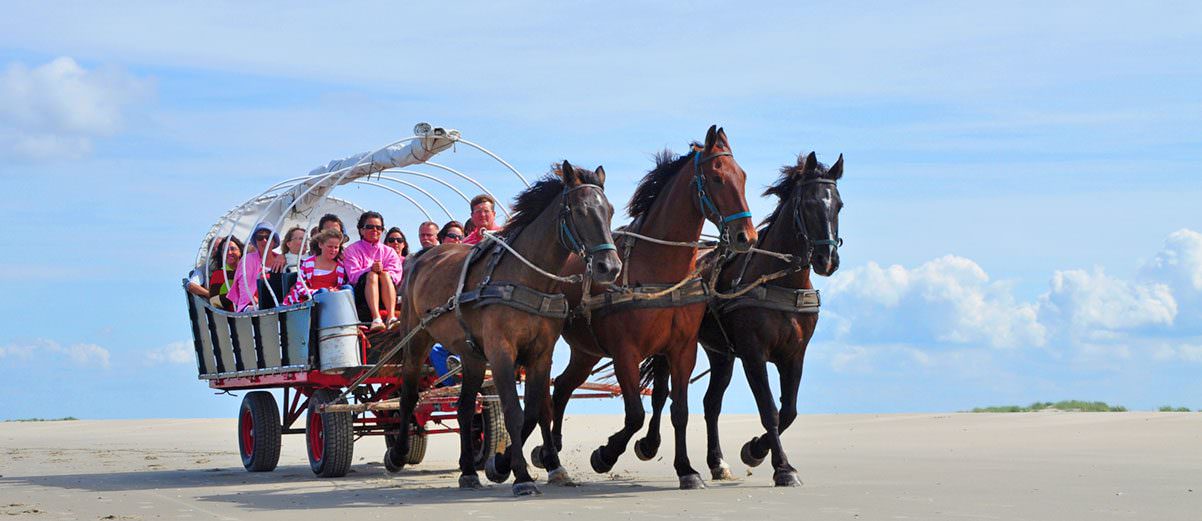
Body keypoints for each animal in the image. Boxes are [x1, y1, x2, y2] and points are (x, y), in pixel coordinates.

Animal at [391, 162, 620, 495]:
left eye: (610, 210)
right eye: (579, 211)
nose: (610, 267)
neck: (527, 278)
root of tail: (422, 256)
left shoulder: (541, 354)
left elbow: (539, 409)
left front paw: (532, 465)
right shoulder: (501, 353)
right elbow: (515, 410)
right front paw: (520, 475)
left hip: (471, 356)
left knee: (464, 408)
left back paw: (468, 471)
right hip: (416, 337)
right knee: (408, 395)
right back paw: (397, 453)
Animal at [543, 125, 754, 486]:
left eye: (741, 175)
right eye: (716, 178)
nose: (746, 236)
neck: (660, 270)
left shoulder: (682, 349)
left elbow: (678, 410)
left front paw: (686, 469)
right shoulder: (625, 352)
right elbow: (635, 415)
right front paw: (605, 454)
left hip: (587, 351)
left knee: (563, 388)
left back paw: (551, 450)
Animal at [639, 150, 846, 486]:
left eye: (838, 205)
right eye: (809, 204)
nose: (827, 260)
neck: (779, 281)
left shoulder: (795, 355)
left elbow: (789, 411)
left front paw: (755, 450)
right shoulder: (753, 353)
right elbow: (769, 409)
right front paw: (782, 467)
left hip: (720, 353)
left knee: (711, 403)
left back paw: (717, 462)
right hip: (670, 345)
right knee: (660, 394)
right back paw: (648, 444)